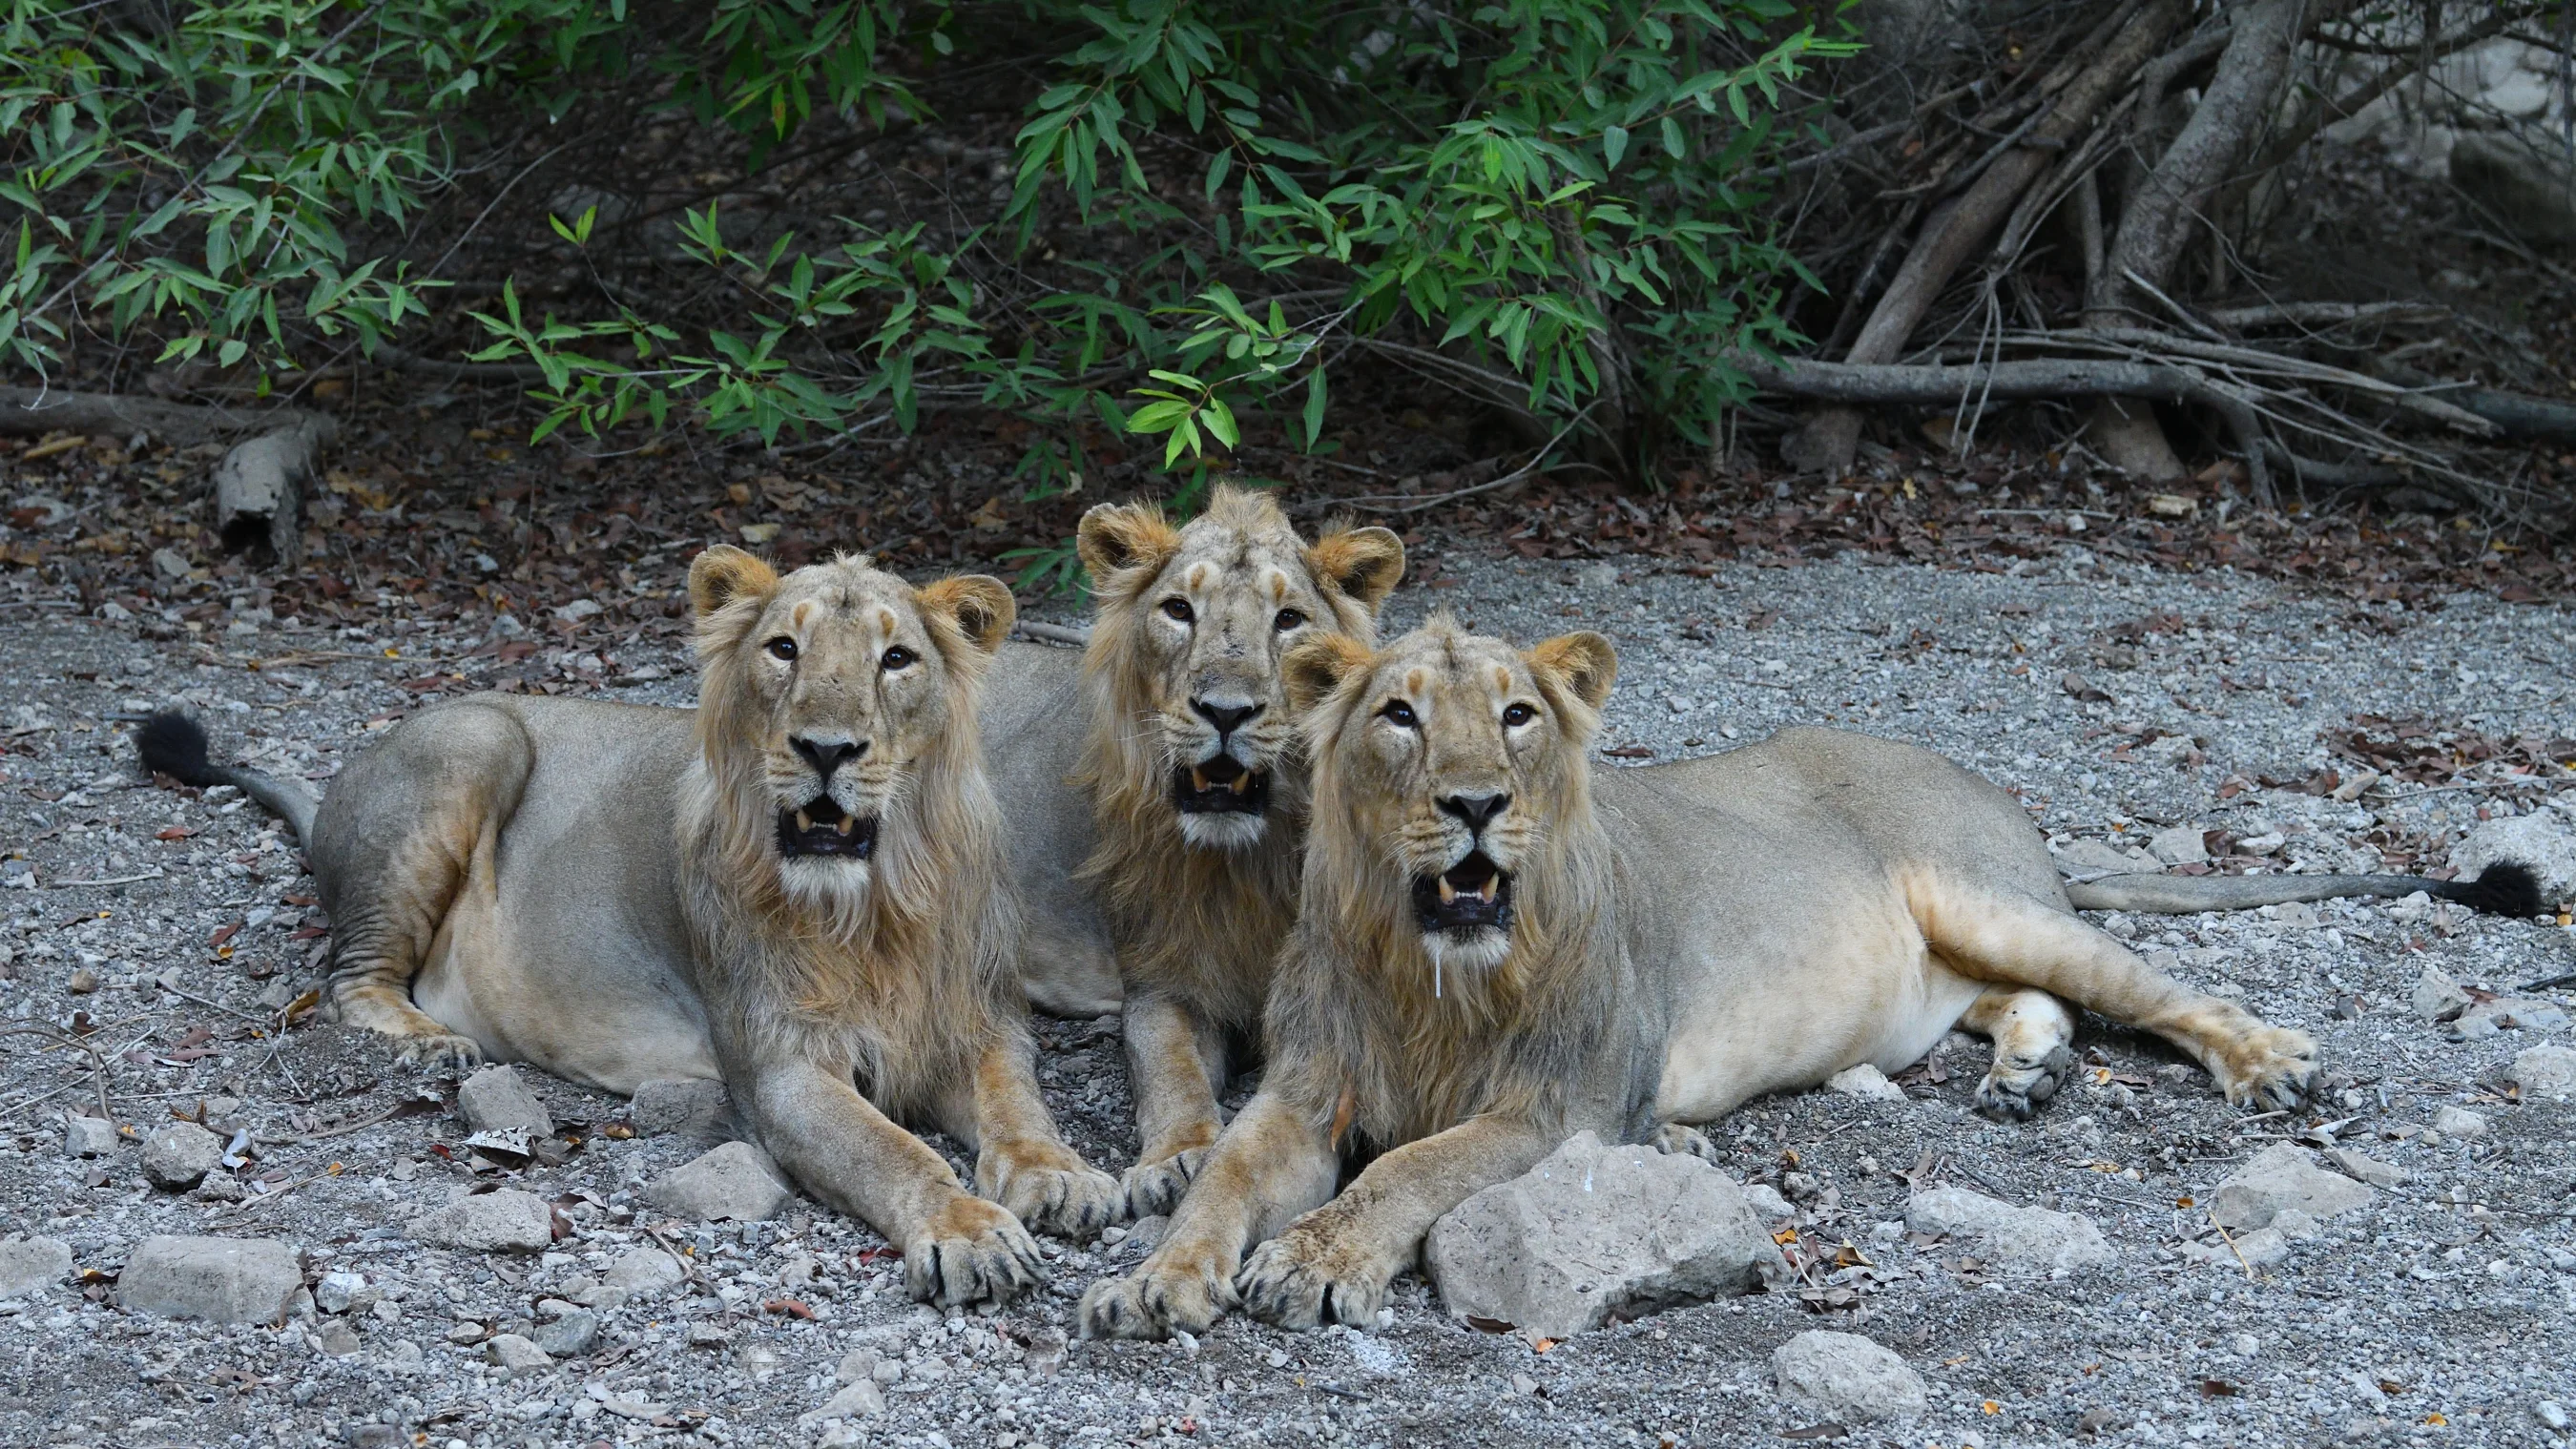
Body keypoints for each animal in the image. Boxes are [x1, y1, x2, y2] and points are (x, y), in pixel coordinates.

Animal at [141, 548, 1119, 1307]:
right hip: (477, 737)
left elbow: (1017, 1104)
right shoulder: (781, 1068)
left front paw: (1061, 1175)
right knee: (349, 977)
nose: (826, 749)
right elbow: (894, 1150)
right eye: (785, 648)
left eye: (897, 659)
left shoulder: (979, 1025)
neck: (873, 907)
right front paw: (968, 1228)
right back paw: (430, 1042)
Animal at [977, 484, 1404, 1216]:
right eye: (1179, 609)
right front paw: (1181, 1154)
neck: (1254, 861)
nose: (1226, 711)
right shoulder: (1164, 977)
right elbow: (1171, 1066)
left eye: (1289, 619)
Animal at [1079, 617, 2540, 1337]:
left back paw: (2270, 1060)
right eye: (1397, 714)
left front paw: (1315, 1260)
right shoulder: (1305, 1089)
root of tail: (1989, 789)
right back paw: (2026, 1073)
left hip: (1987, 893)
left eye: (1517, 716)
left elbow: (1411, 1169)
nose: (1479, 803)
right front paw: (1156, 1279)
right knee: (2022, 1001)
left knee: (2150, 984)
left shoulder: (1566, 1105)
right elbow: (1221, 1178)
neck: (1430, 967)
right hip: (1945, 963)